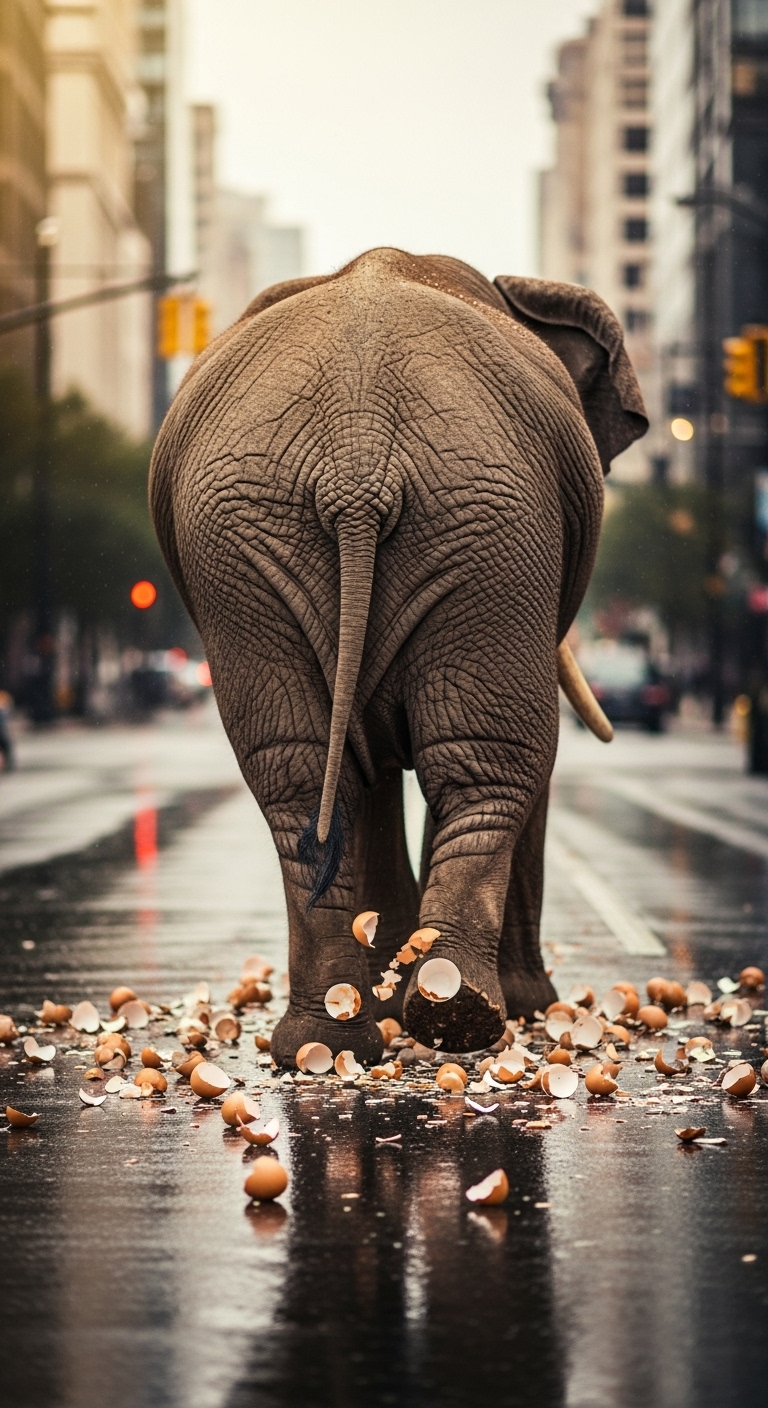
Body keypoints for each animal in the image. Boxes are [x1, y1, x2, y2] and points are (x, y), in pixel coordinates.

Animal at [149, 247, 646, 1065]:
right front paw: (526, 1006)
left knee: (300, 775)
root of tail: (357, 465)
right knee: (490, 762)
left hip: (268, 543)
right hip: (486, 531)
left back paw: (335, 1038)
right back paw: (461, 1016)